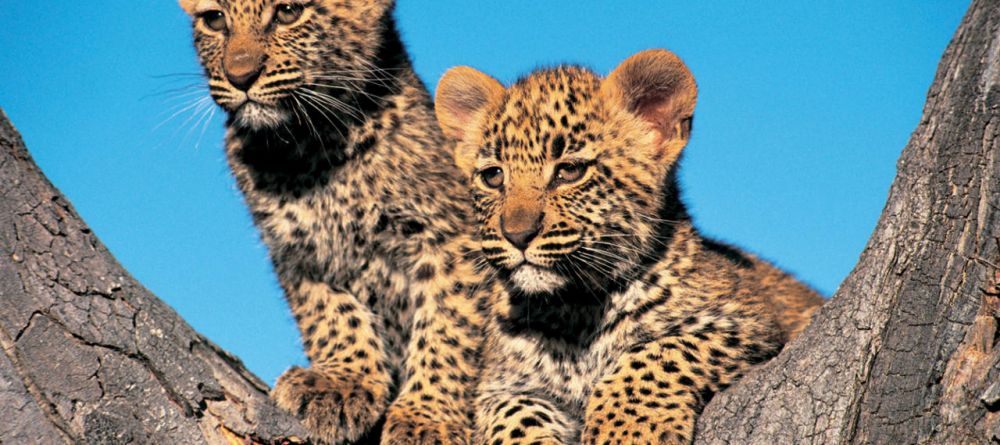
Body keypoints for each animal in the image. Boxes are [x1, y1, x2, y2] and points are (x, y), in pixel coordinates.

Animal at [178, 1, 488, 443]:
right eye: (215, 20)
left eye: (289, 12)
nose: (240, 77)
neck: (310, 148)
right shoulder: (296, 249)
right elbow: (330, 313)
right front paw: (340, 384)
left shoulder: (451, 240)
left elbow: (449, 328)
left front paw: (428, 417)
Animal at [434, 48, 824, 444]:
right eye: (493, 176)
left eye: (570, 171)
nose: (517, 234)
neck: (576, 315)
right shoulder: (503, 386)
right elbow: (512, 416)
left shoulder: (748, 323)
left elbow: (656, 353)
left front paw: (626, 430)